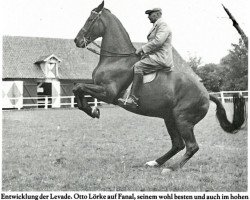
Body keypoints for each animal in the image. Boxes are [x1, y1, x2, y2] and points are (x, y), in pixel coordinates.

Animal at [72, 0, 246, 171]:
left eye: (90, 19)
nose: (77, 40)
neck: (117, 60)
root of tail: (206, 93)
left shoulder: (108, 93)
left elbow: (79, 87)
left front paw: (93, 111)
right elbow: (76, 88)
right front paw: (92, 110)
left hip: (182, 120)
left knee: (191, 146)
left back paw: (173, 168)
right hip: (169, 118)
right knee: (178, 144)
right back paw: (155, 162)